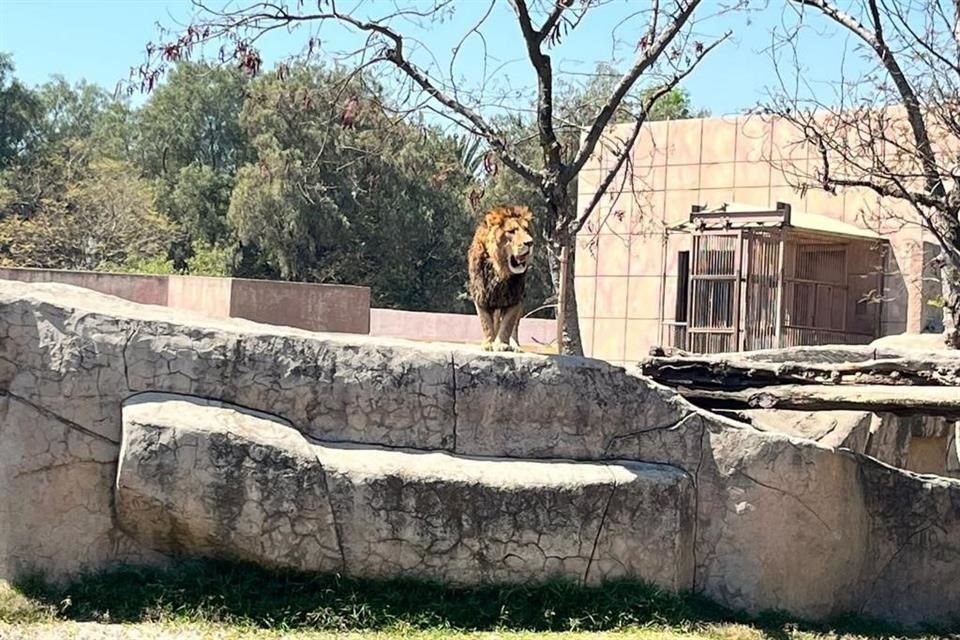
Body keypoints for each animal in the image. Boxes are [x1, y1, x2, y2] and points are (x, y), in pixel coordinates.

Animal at [464, 205, 532, 352]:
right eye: (511, 231)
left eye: (527, 230)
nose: (530, 243)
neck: (500, 271)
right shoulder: (481, 295)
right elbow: (486, 323)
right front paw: (488, 343)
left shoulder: (515, 297)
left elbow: (508, 324)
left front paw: (502, 345)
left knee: (514, 327)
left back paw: (515, 346)